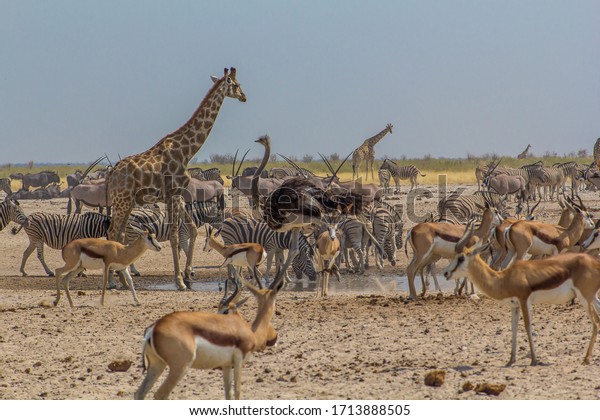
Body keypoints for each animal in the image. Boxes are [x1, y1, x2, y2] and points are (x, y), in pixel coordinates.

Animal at [107, 67, 246, 290]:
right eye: (236, 84)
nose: (244, 96)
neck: (186, 151)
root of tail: (112, 173)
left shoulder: (179, 194)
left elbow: (192, 230)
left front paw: (188, 275)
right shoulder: (172, 194)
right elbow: (173, 236)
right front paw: (179, 281)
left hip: (127, 202)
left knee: (118, 233)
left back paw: (122, 278)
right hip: (122, 201)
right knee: (112, 232)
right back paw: (113, 279)